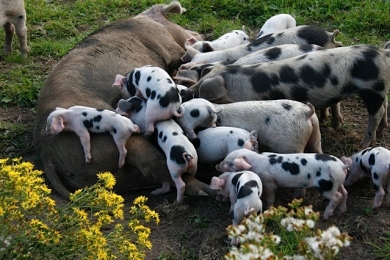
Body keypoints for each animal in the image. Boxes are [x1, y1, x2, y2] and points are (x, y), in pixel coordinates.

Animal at [191, 43, 390, 147]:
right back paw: (380, 131)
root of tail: (382, 53)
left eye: (203, 89)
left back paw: (364, 145)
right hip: (380, 89)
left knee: (377, 113)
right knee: (385, 105)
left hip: (372, 89)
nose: (188, 92)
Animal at [218, 148, 352, 219]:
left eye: (229, 163)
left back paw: (325, 215)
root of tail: (342, 166)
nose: (217, 166)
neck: (254, 161)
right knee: (345, 193)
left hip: (327, 186)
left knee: (337, 196)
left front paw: (268, 208)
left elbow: (270, 197)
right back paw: (342, 211)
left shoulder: (269, 183)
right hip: (338, 183)